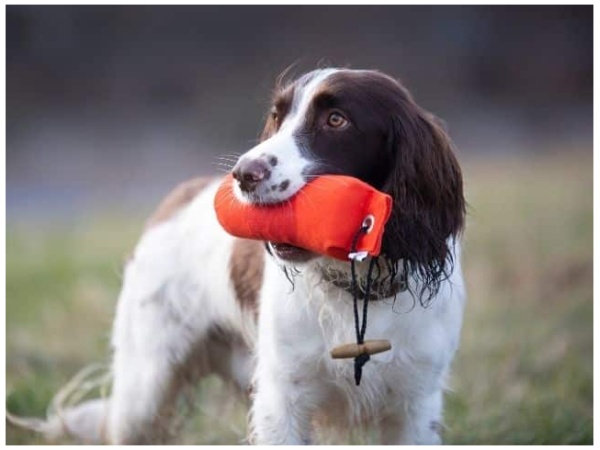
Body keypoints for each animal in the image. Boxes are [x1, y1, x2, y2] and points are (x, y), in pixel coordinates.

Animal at [11, 68, 466, 444]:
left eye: (336, 120)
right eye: (277, 117)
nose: (244, 174)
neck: (356, 285)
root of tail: (180, 195)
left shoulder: (415, 405)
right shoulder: (282, 399)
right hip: (143, 393)